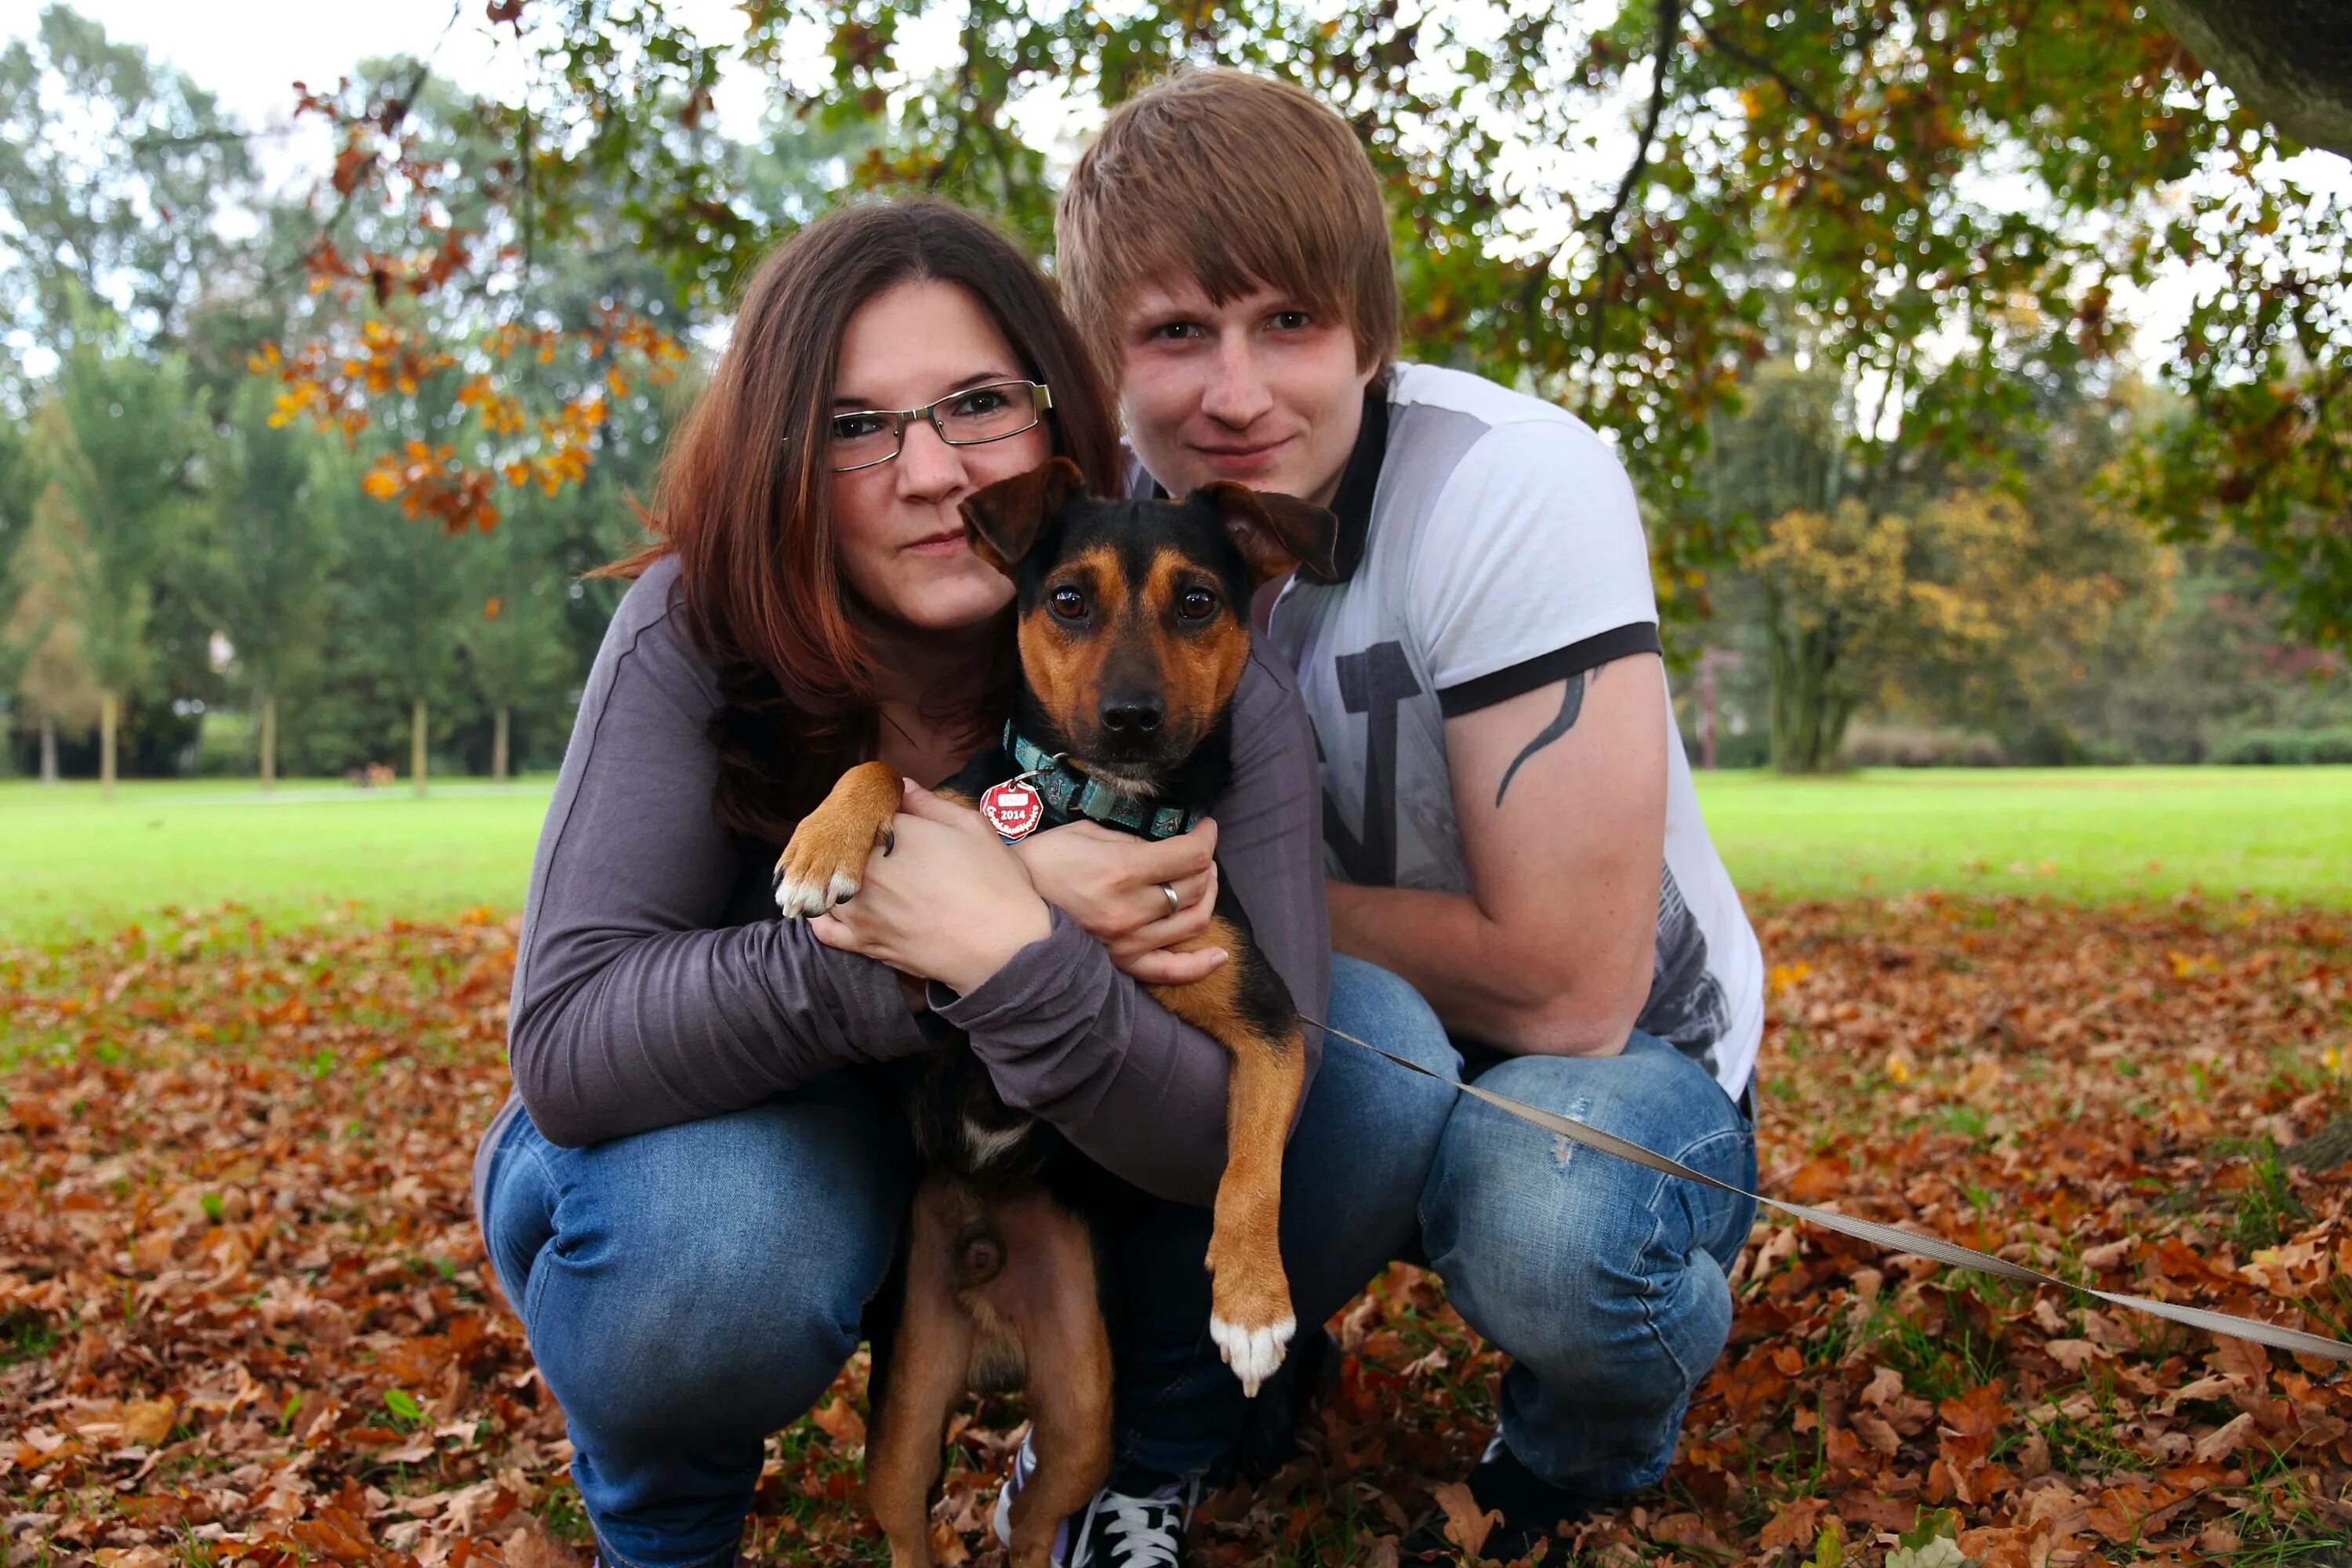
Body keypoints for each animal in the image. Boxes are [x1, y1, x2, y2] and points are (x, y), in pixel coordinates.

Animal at [776, 456, 1345, 1568]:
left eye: (1198, 602)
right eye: (1069, 600)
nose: (1129, 716)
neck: (1098, 808)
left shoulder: (1266, 1019)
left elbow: (1253, 1166)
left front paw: (1253, 1300)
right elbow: (890, 771)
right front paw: (824, 844)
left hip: (1084, 1400)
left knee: (1041, 1515)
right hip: (906, 1407)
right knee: (908, 1524)